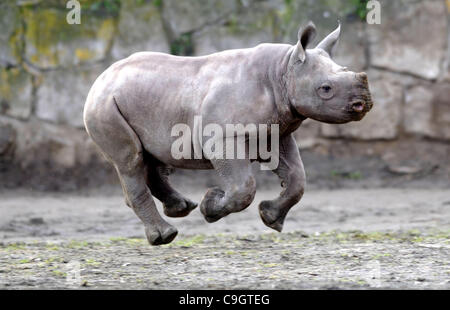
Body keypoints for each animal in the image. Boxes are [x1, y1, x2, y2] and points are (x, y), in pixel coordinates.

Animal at [83, 21, 372, 245]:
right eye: (326, 89)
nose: (365, 104)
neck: (282, 71)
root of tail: (100, 78)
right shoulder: (223, 136)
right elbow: (243, 188)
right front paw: (210, 207)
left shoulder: (277, 133)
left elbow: (297, 179)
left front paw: (270, 219)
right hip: (105, 106)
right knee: (130, 160)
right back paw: (165, 236)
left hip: (140, 100)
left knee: (149, 157)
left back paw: (181, 208)